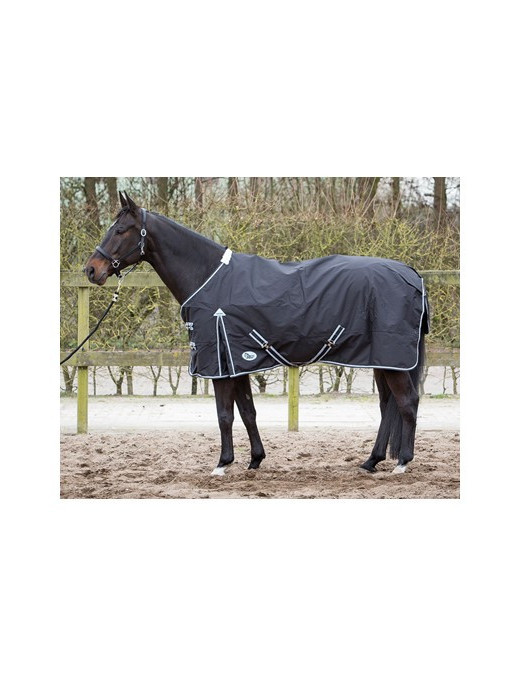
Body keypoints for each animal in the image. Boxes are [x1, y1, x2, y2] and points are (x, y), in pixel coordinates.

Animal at [84, 191, 428, 476]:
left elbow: (224, 415)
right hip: (383, 360)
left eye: (119, 230)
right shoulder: (237, 362)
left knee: (407, 402)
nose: (91, 270)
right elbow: (247, 411)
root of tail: (411, 274)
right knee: (387, 406)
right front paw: (254, 460)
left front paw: (222, 464)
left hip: (393, 359)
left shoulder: (220, 365)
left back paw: (402, 463)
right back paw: (371, 461)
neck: (208, 277)